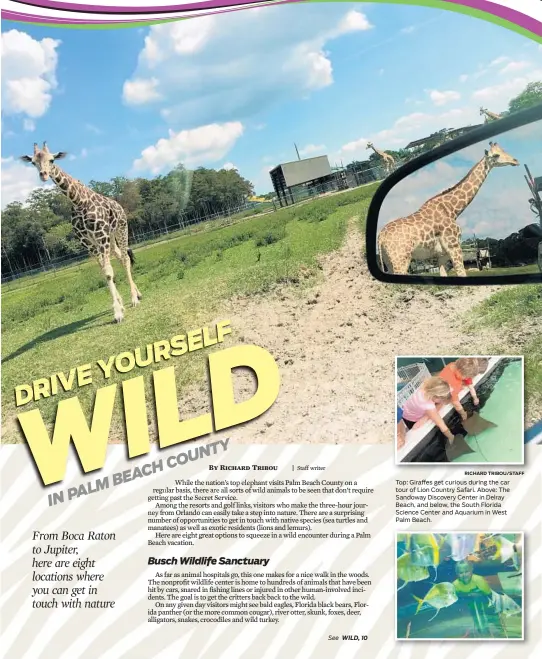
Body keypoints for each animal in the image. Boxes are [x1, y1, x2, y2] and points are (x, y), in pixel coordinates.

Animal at [20, 143, 141, 324]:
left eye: (52, 159)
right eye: (33, 162)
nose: (44, 175)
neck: (78, 201)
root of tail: (118, 205)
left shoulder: (101, 235)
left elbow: (108, 272)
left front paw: (118, 313)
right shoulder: (87, 241)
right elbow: (104, 272)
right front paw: (119, 306)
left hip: (121, 228)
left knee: (126, 258)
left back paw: (134, 299)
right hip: (111, 237)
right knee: (120, 256)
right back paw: (137, 294)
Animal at [378, 143, 524, 278]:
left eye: (503, 150)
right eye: (496, 155)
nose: (515, 161)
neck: (452, 210)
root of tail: (380, 237)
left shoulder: (441, 254)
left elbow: (444, 274)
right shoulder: (454, 247)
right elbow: (462, 273)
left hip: (388, 260)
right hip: (401, 259)